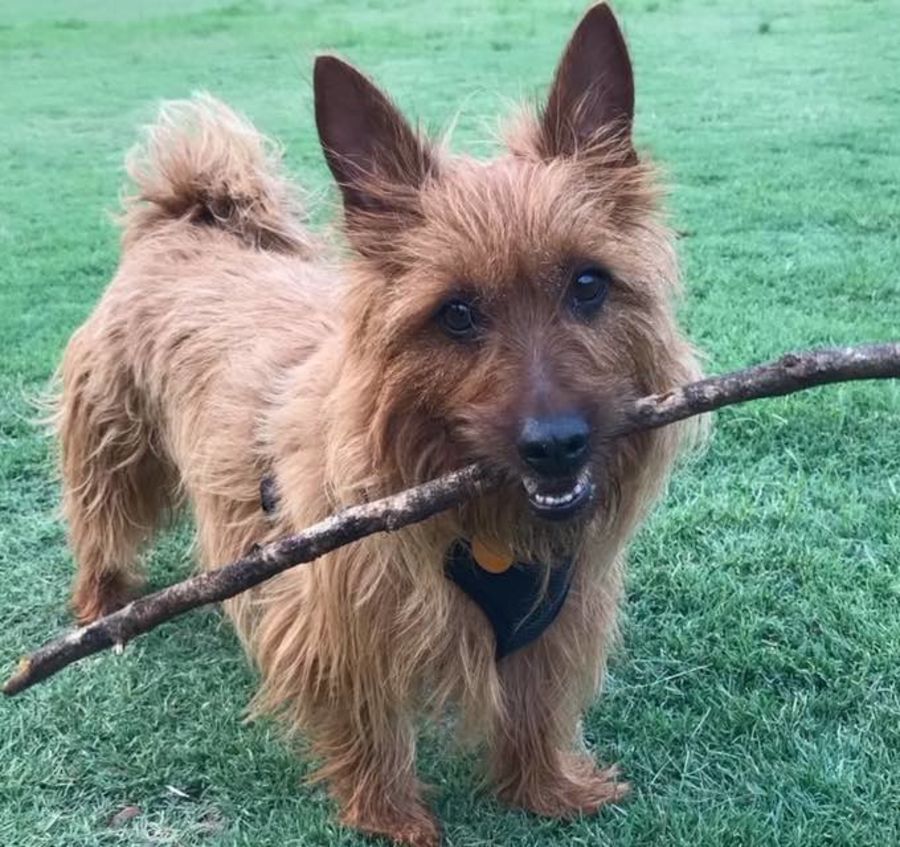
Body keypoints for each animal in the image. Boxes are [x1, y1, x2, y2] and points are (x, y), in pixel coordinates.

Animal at [56, 4, 701, 844]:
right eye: (455, 313)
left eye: (589, 284)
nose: (557, 443)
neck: (482, 524)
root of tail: (183, 222)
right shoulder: (337, 626)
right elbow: (372, 728)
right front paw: (394, 818)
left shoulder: (561, 619)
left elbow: (535, 708)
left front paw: (548, 788)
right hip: (114, 446)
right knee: (99, 522)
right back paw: (102, 610)